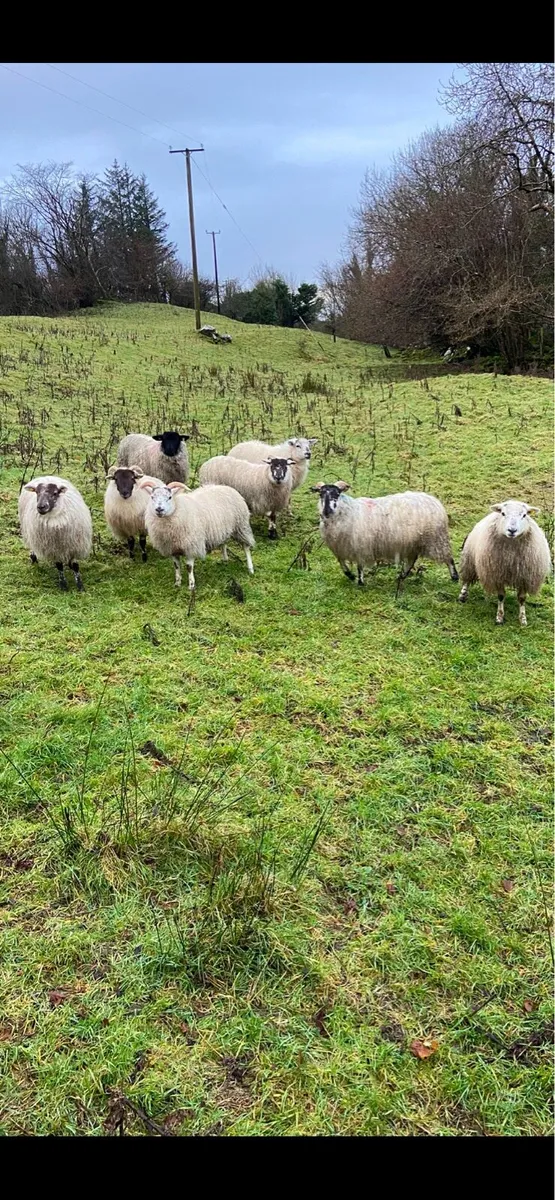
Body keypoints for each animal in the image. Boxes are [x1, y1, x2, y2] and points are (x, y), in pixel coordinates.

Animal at [311, 481, 459, 592]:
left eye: (337, 494)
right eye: (321, 494)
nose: (327, 511)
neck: (347, 512)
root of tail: (434, 500)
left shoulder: (360, 545)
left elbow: (359, 566)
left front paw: (360, 581)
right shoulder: (339, 548)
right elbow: (342, 564)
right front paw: (350, 575)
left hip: (437, 539)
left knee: (449, 559)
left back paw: (455, 577)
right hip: (413, 543)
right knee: (411, 561)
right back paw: (401, 577)